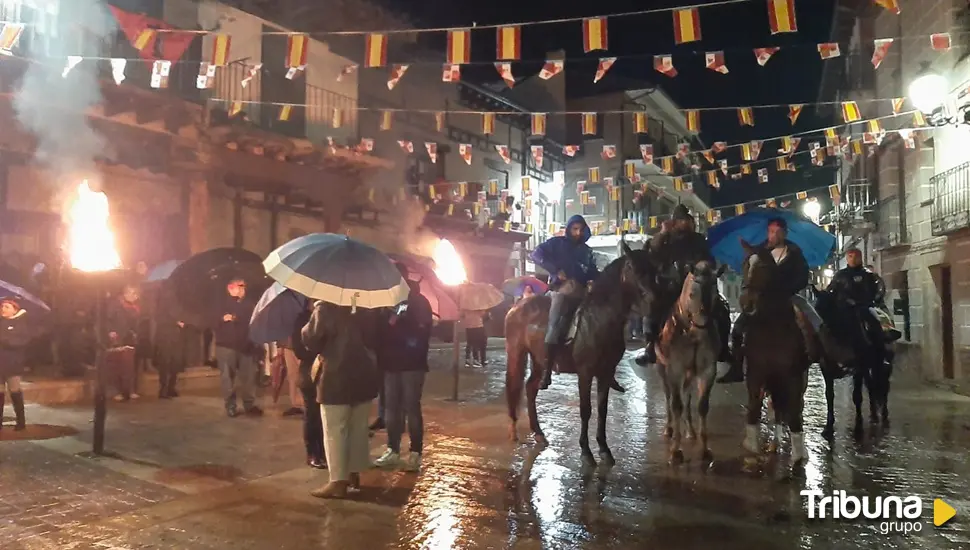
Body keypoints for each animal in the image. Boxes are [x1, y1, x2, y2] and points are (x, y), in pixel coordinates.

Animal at [502, 239, 656, 468]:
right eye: (631, 267)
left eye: (652, 267)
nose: (652, 300)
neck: (600, 319)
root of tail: (518, 304)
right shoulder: (585, 372)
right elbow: (586, 409)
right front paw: (586, 452)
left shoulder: (605, 373)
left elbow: (602, 410)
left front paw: (604, 449)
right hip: (516, 352)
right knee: (514, 385)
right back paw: (513, 428)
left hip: (539, 360)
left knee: (530, 388)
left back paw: (538, 433)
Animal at [656, 262, 724, 466]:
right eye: (692, 294)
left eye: (716, 293)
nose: (703, 327)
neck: (691, 333)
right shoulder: (674, 370)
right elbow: (676, 404)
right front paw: (675, 452)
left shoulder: (707, 371)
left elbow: (701, 406)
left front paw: (705, 451)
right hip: (663, 370)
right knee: (669, 397)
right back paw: (669, 429)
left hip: (690, 374)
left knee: (687, 396)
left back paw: (691, 431)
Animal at [740, 242, 808, 466]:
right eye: (744, 264)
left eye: (763, 267)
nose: (746, 303)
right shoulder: (756, 373)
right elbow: (754, 408)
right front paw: (752, 448)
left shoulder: (792, 377)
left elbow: (794, 414)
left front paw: (798, 455)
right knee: (777, 408)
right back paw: (774, 444)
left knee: (791, 409)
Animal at [812, 288, 888, 440]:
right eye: (816, 308)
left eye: (829, 307)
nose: (821, 330)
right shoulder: (826, 368)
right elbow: (829, 395)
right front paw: (828, 427)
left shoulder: (857, 368)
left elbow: (857, 396)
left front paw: (858, 426)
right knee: (871, 385)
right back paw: (873, 413)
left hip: (873, 364)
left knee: (878, 384)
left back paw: (879, 415)